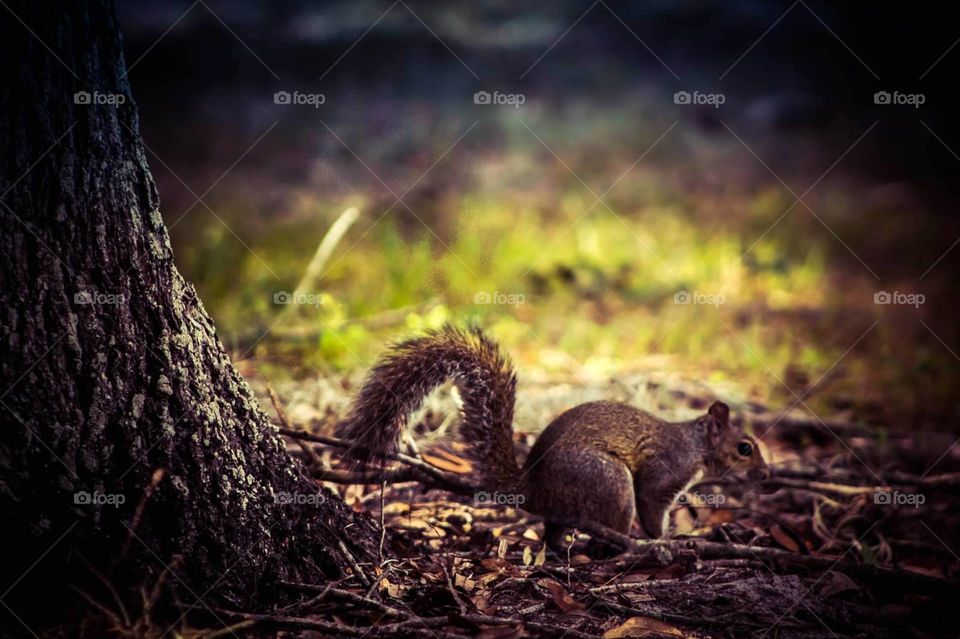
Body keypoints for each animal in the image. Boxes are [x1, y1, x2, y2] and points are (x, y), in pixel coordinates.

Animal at [339, 325, 769, 551]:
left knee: (552, 532)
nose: (766, 474)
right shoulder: (663, 474)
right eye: (744, 448)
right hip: (610, 480)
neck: (695, 446)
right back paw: (623, 545)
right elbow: (652, 504)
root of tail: (533, 488)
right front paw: (665, 538)